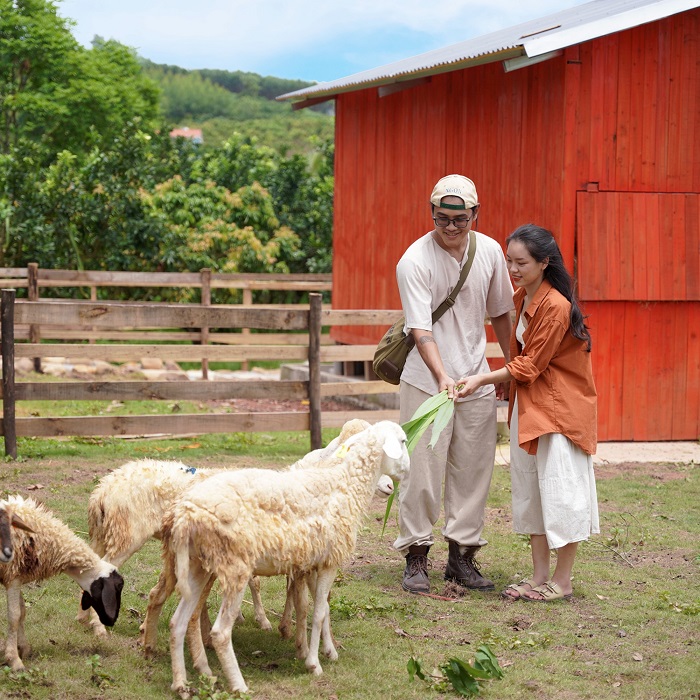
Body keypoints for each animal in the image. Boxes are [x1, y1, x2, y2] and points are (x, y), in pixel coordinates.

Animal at [0, 494, 123, 668]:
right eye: (119, 586)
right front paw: (14, 660)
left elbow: (22, 612)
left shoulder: (17, 576)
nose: (111, 621)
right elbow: (14, 616)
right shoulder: (12, 577)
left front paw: (23, 648)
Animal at [161, 418, 408, 696]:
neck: (345, 483)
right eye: (403, 441)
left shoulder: (312, 562)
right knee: (220, 632)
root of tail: (185, 514)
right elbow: (318, 611)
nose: (396, 481)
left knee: (178, 623)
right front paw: (313, 663)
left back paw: (182, 683)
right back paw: (238, 685)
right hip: (234, 566)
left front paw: (325, 650)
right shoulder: (329, 562)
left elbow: (318, 608)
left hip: (197, 565)